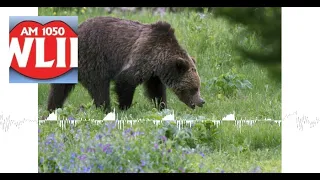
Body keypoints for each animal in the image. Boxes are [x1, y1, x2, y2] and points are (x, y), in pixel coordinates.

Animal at [47, 16, 205, 113]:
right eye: (194, 88)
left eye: (198, 87)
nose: (201, 101)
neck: (160, 59)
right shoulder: (142, 56)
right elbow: (125, 81)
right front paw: (124, 108)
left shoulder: (153, 73)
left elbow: (156, 90)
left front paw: (162, 106)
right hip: (93, 59)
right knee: (99, 88)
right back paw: (106, 109)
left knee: (58, 89)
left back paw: (52, 109)